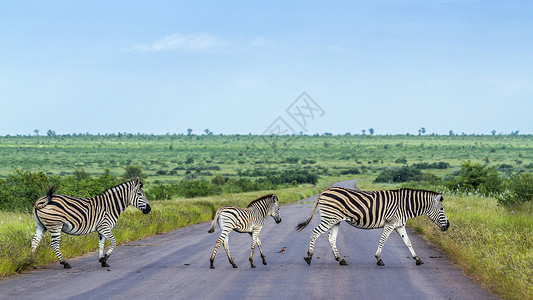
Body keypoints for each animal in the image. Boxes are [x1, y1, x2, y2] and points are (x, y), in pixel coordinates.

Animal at [296, 186, 448, 266]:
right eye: (442, 209)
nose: (448, 226)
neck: (404, 206)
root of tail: (324, 191)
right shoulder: (390, 224)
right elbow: (383, 240)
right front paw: (379, 259)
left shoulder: (399, 225)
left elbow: (408, 242)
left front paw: (418, 259)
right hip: (329, 218)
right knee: (314, 232)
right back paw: (309, 257)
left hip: (335, 220)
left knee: (331, 238)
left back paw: (340, 259)